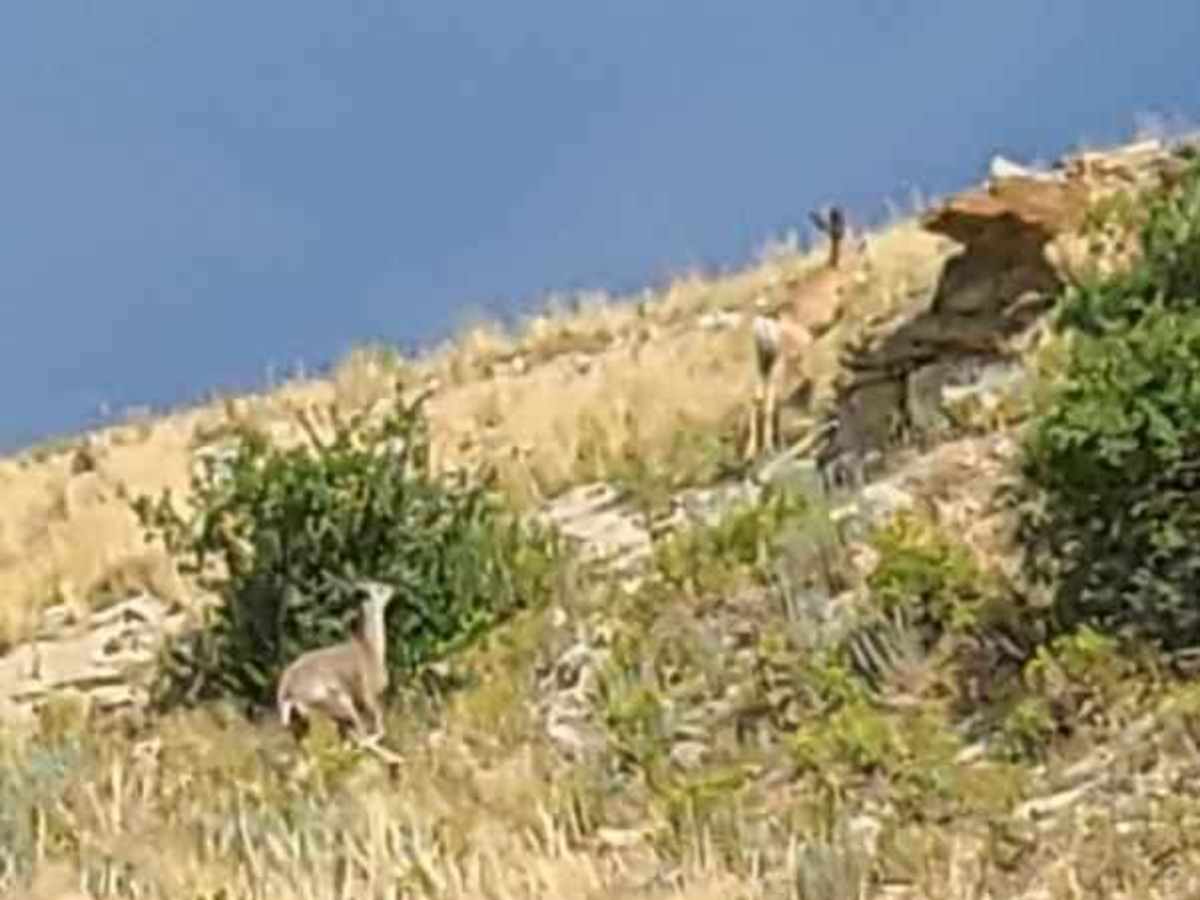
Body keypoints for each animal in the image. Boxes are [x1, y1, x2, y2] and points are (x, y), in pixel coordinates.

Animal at [276, 578, 397, 746]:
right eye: (380, 589)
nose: (393, 589)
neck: (371, 649)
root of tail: (286, 689)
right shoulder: (368, 696)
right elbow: (378, 727)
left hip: (307, 720)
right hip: (339, 703)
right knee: (360, 735)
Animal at [744, 205, 872, 460]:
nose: (866, 262)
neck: (833, 269)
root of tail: (767, 321)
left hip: (763, 360)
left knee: (756, 397)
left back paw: (751, 453)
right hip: (785, 359)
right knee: (774, 398)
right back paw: (772, 447)